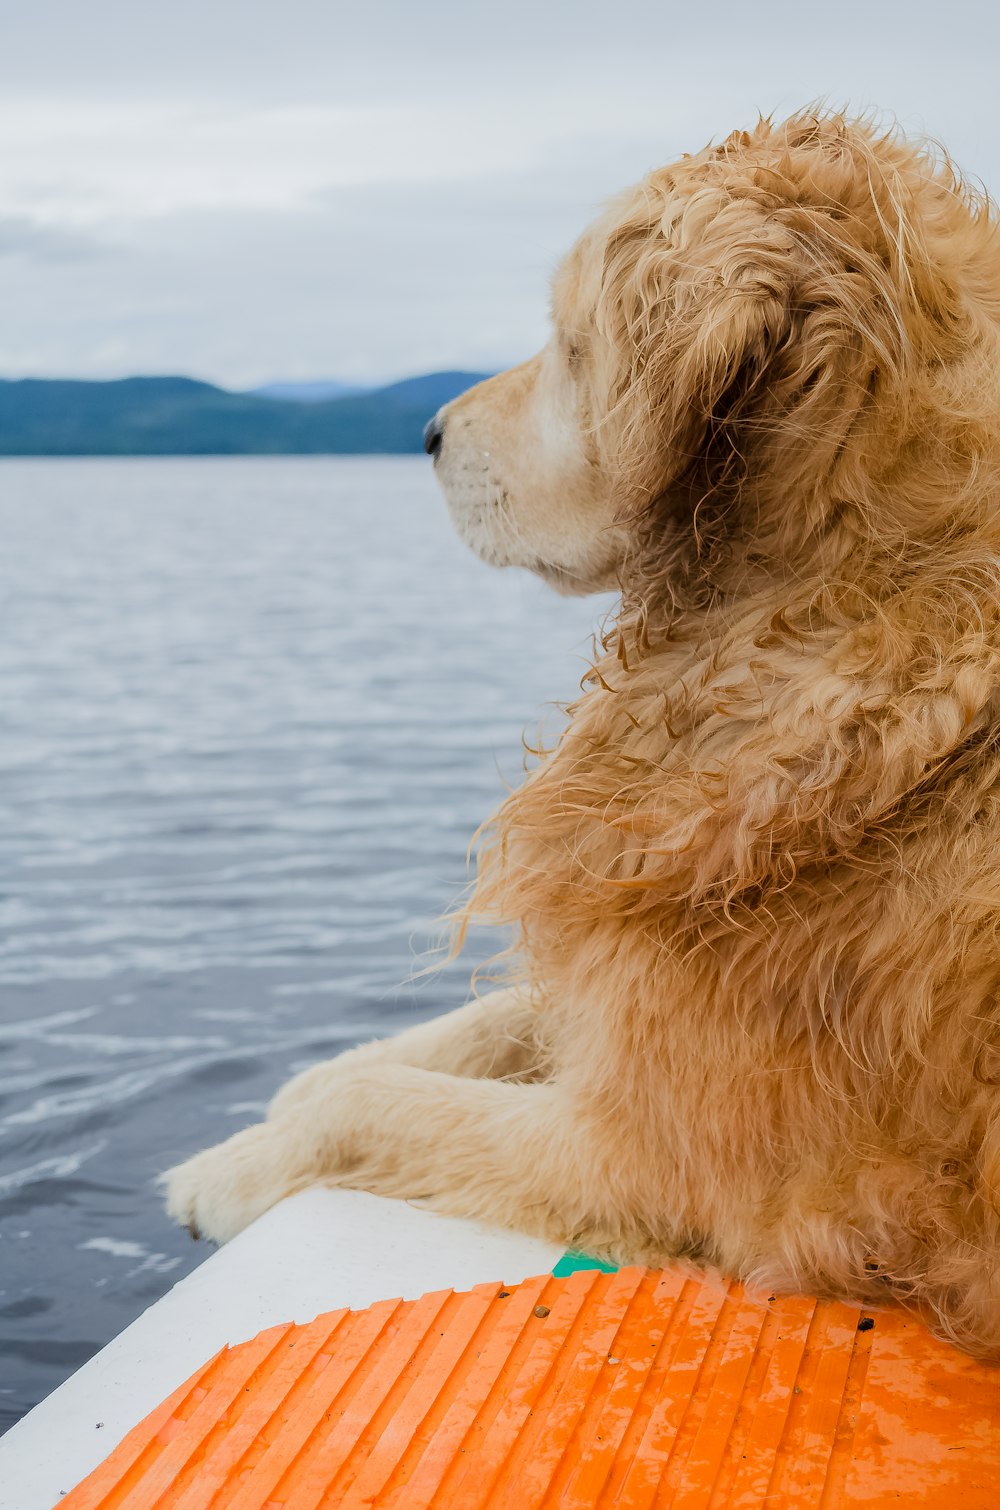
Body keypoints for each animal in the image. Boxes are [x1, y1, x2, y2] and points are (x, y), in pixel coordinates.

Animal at [166, 109, 1000, 1359]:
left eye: (566, 345)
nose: (424, 430)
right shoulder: (637, 969)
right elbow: (480, 1024)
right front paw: (277, 1100)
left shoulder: (654, 1158)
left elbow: (378, 1105)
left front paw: (231, 1166)